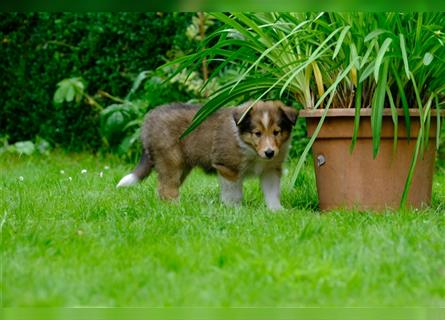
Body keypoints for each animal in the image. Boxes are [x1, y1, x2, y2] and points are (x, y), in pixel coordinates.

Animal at [117, 100, 294, 210]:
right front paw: (235, 210)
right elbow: (233, 194)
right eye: (257, 133)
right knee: (167, 188)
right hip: (171, 161)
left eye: (277, 132)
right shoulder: (228, 168)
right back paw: (176, 208)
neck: (251, 149)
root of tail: (148, 121)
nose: (270, 152)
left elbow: (272, 192)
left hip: (181, 167)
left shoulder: (270, 170)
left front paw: (277, 210)